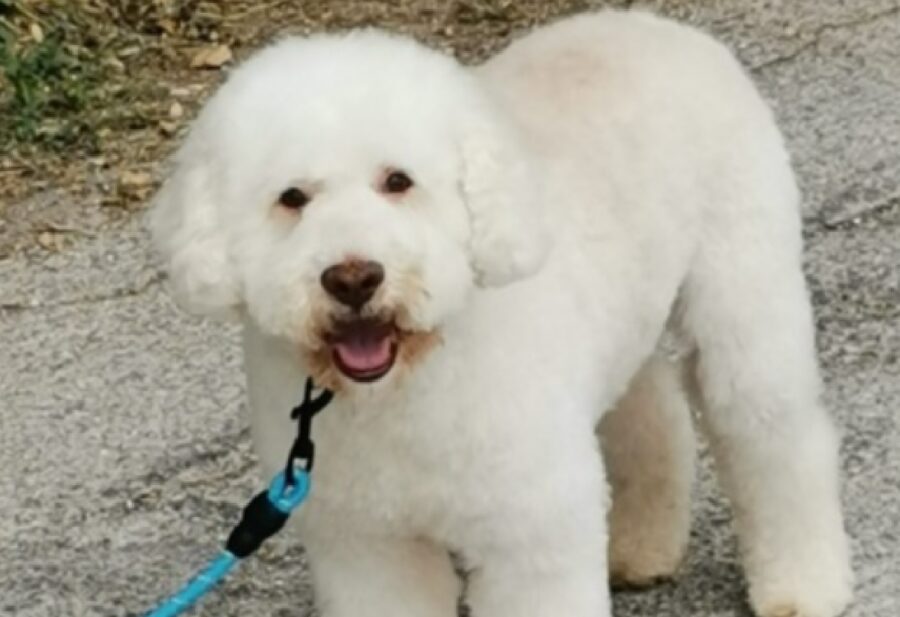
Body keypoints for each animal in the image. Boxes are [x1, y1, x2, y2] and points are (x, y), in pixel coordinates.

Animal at [151, 8, 856, 616]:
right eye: (292, 198)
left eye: (398, 181)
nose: (354, 278)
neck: (407, 388)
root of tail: (653, 23)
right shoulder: (370, 544)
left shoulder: (532, 529)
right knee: (651, 411)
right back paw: (643, 548)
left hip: (744, 293)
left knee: (774, 435)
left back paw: (804, 586)